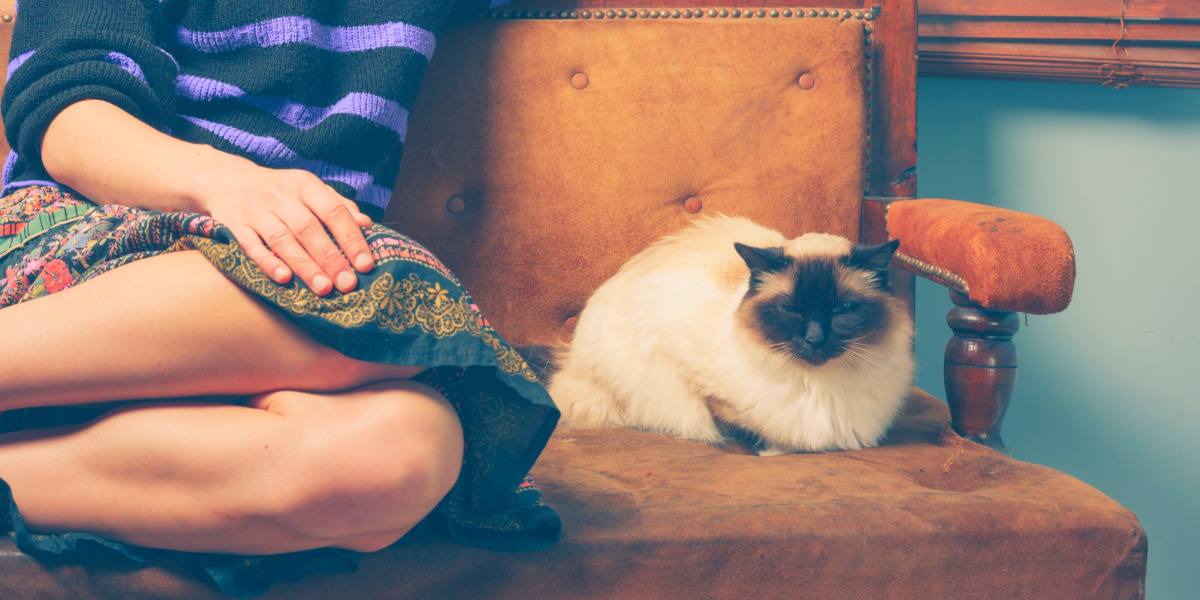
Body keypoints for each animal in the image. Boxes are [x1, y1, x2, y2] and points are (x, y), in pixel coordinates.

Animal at [549, 216, 912, 453]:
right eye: (791, 309)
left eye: (842, 309)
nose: (815, 339)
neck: (817, 385)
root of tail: (572, 363)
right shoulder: (698, 385)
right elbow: (744, 430)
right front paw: (773, 451)